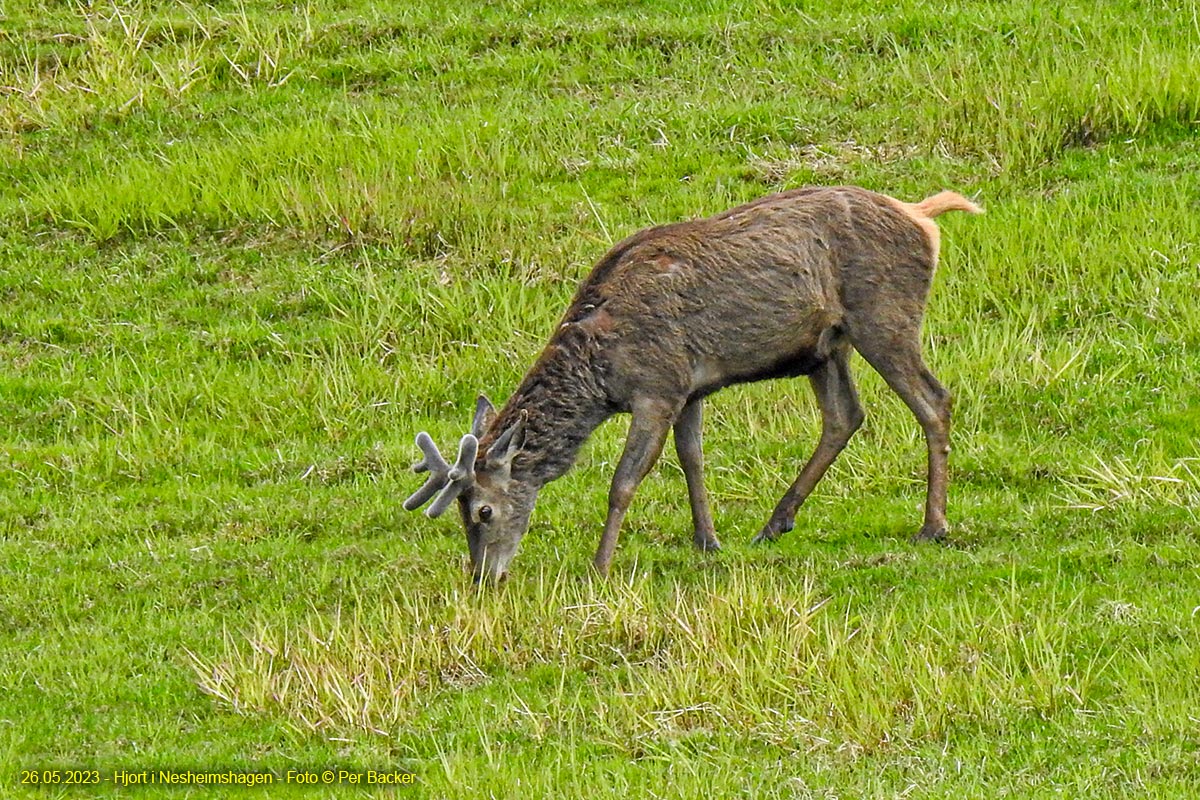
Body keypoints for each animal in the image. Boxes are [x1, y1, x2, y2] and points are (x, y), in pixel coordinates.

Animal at [403, 185, 984, 585]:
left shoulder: (657, 386)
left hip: (884, 317)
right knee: (845, 415)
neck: (600, 374)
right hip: (826, 347)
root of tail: (922, 216)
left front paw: (601, 564)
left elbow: (624, 481)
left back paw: (933, 526)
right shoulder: (690, 389)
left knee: (934, 400)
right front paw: (708, 540)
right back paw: (775, 522)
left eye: (483, 510)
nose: (482, 577)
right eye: (459, 512)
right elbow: (693, 459)